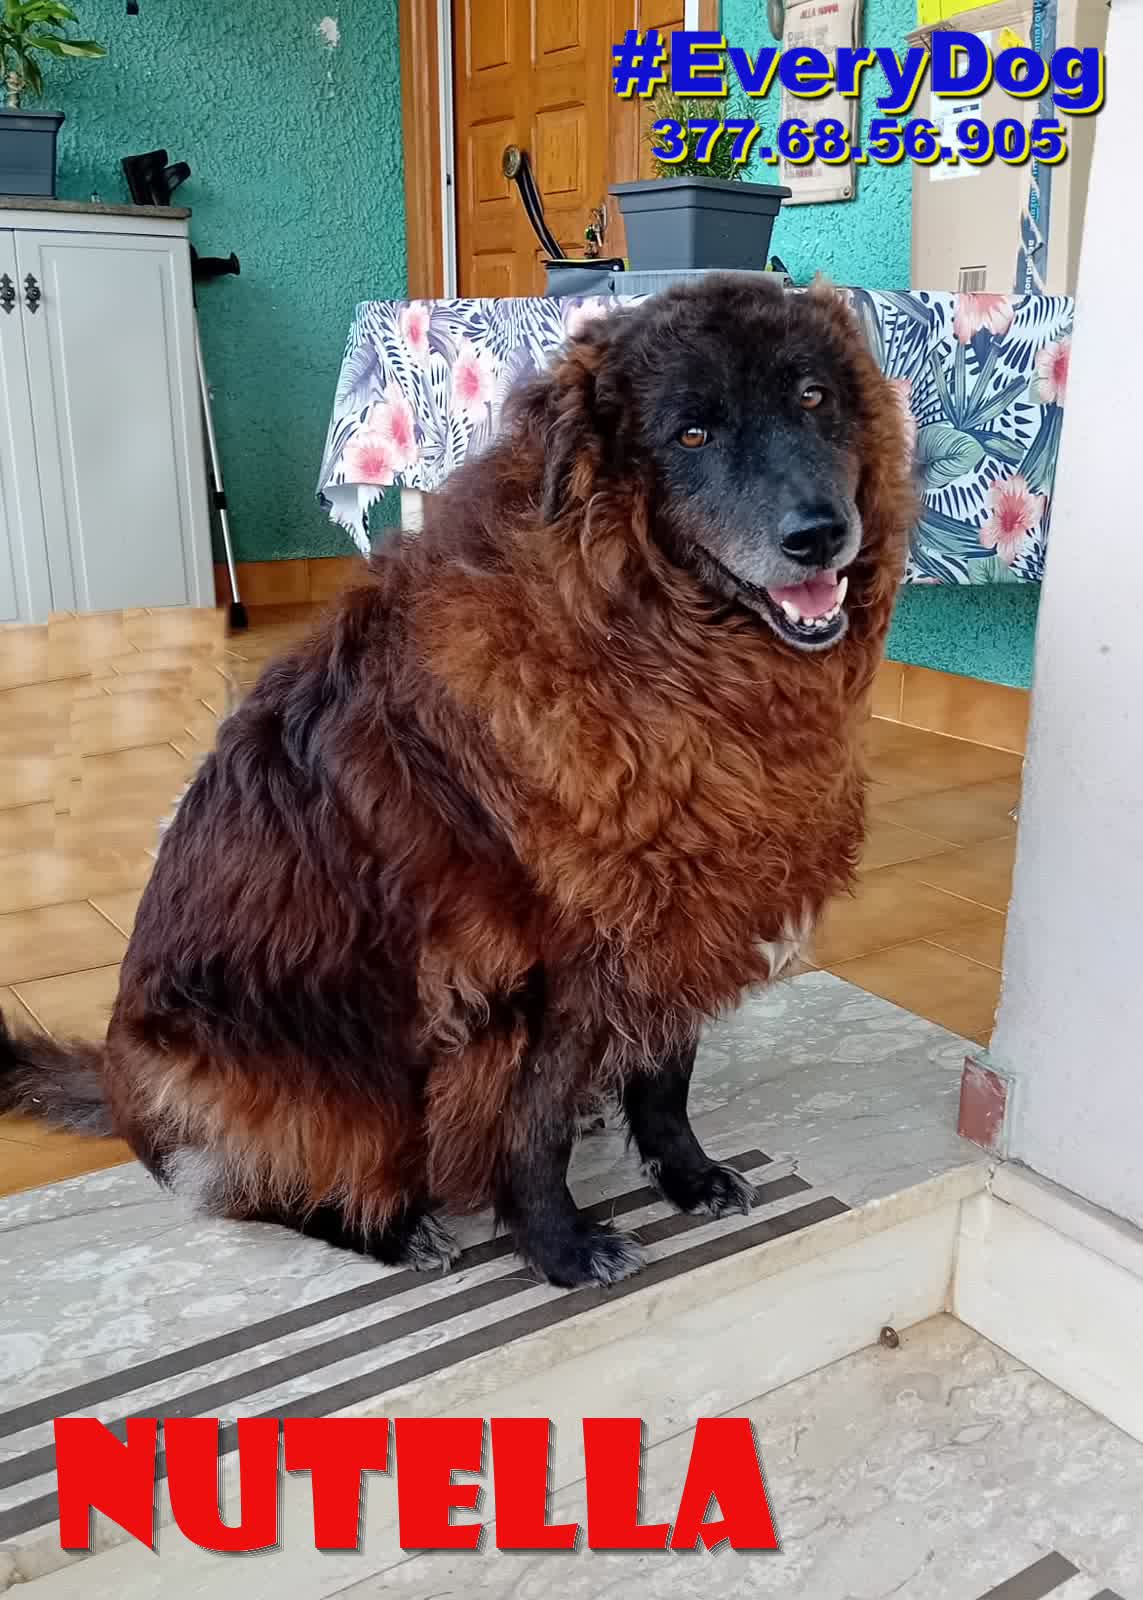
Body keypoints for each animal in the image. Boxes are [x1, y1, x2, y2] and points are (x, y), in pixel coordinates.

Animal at [0, 276, 913, 1287]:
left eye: (811, 398)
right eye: (690, 435)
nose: (819, 535)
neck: (651, 640)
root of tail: (119, 1089)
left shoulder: (679, 914)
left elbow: (665, 1080)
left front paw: (686, 1173)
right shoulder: (548, 972)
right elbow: (533, 1130)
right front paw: (557, 1246)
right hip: (281, 1087)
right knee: (266, 1189)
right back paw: (389, 1229)